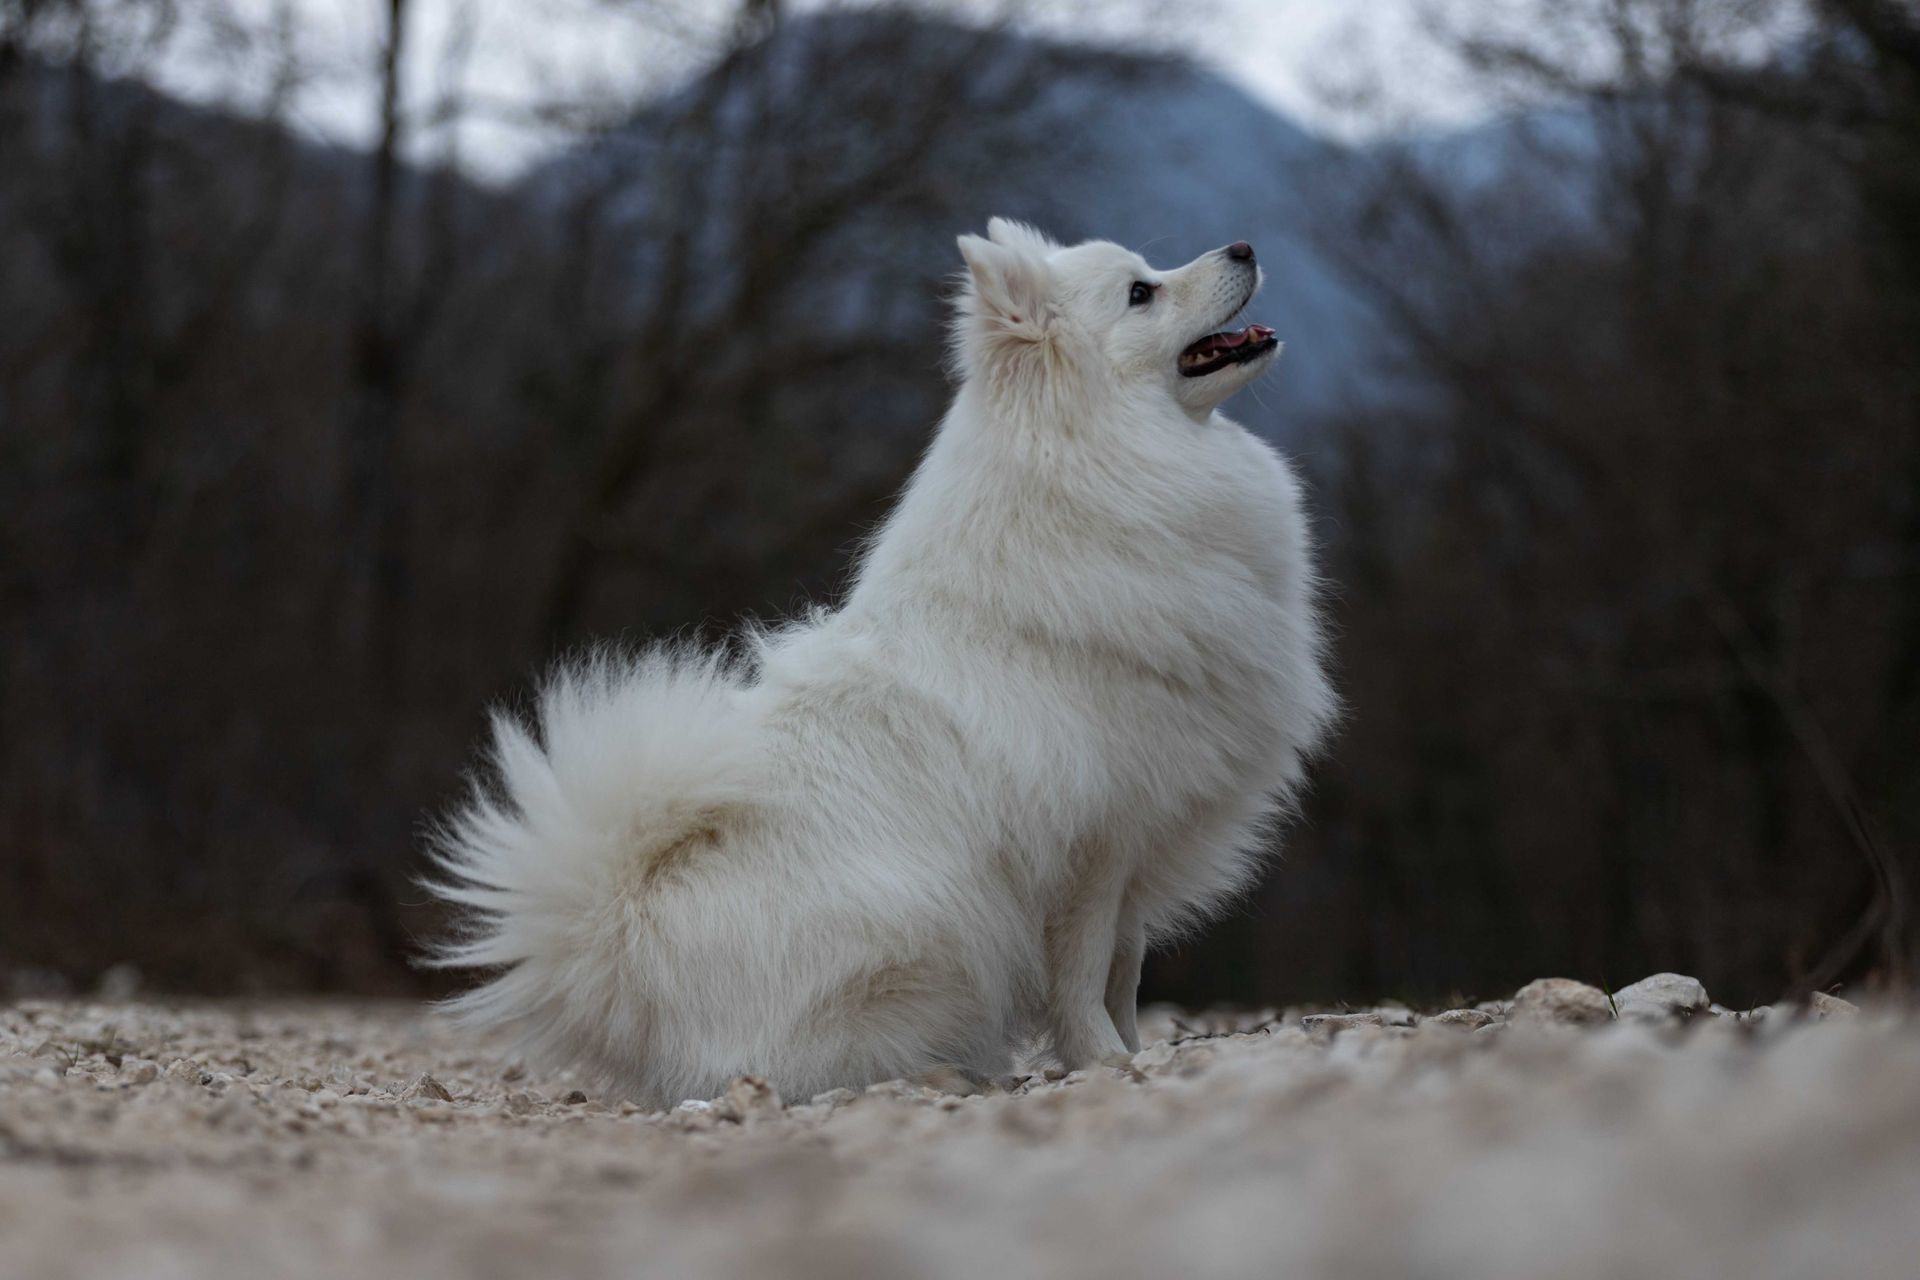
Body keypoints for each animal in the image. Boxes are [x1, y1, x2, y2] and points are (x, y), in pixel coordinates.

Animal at [430, 222, 1336, 1113]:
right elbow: (1084, 979)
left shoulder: (1137, 845)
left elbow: (1124, 971)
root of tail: (613, 943)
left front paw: (1138, 1054)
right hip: (930, 939)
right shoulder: (1091, 848)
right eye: (1141, 291)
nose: (1244, 248)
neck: (1108, 469)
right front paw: (1107, 1063)